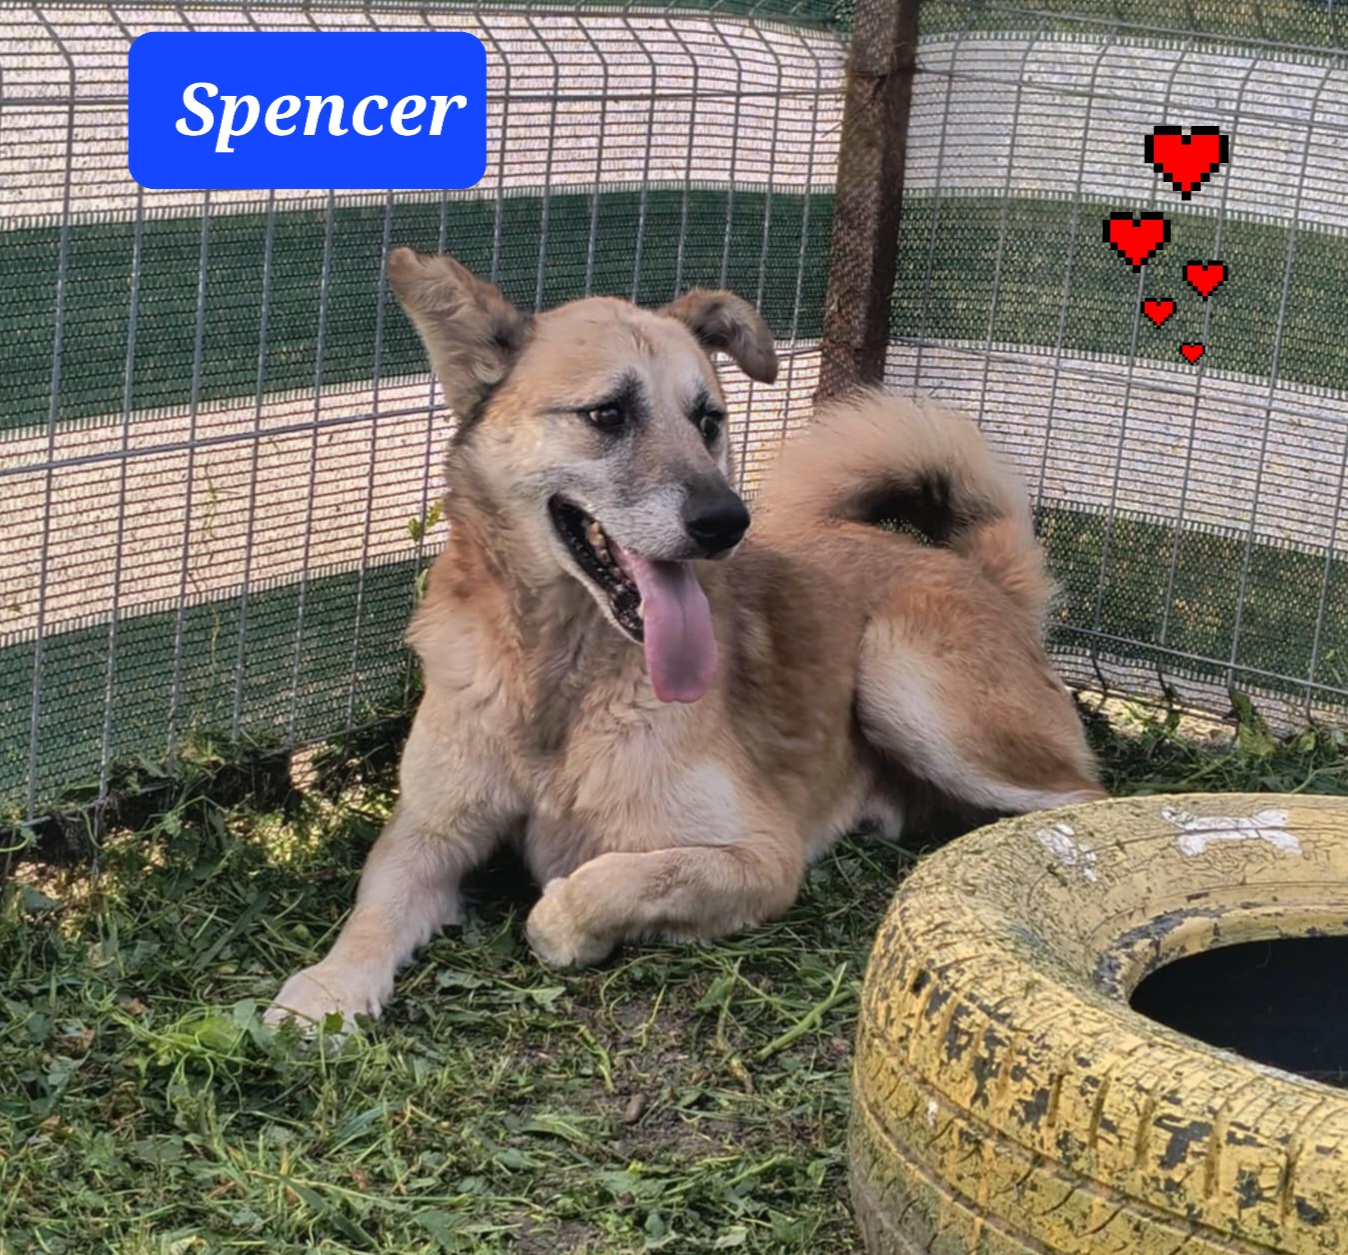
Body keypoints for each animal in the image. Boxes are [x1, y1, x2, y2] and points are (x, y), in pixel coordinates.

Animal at [266, 249, 1104, 1029]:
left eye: (708, 420)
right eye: (608, 414)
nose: (727, 521)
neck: (558, 682)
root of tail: (988, 576)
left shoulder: (759, 855)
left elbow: (606, 882)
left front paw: (560, 921)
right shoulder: (427, 833)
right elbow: (372, 908)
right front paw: (327, 989)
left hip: (904, 684)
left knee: (1082, 805)